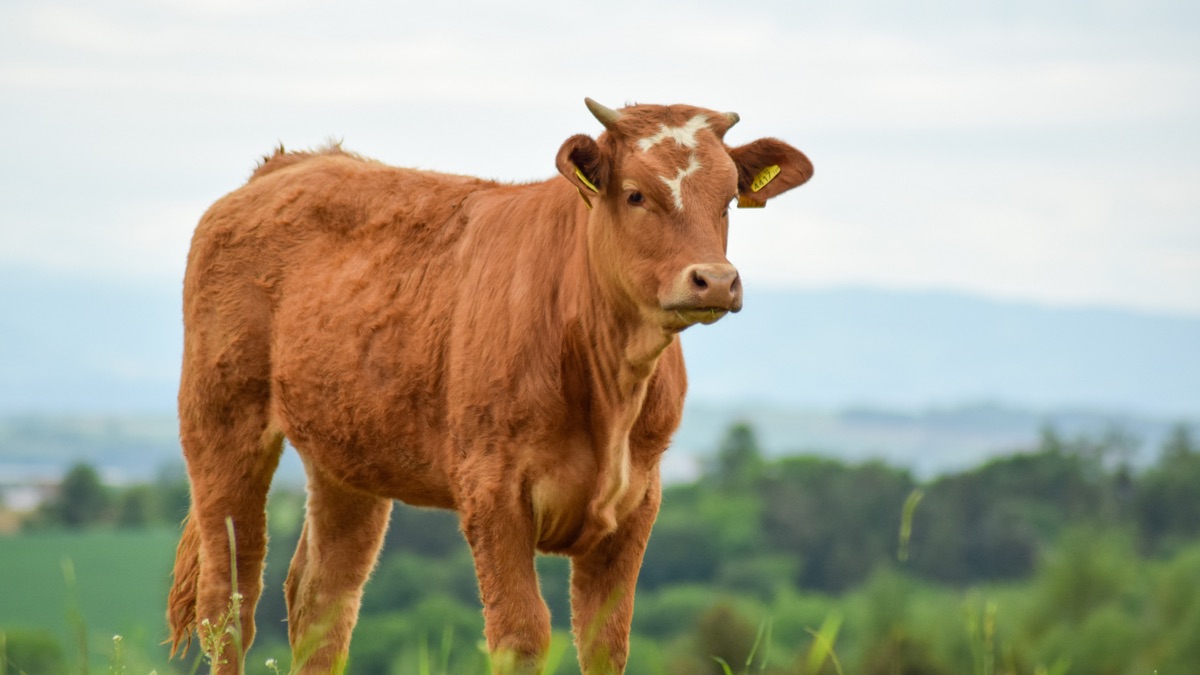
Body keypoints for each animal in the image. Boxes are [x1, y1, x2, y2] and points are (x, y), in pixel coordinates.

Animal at [166, 98, 812, 674]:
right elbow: (521, 636)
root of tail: (292, 163)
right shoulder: (492, 487)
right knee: (229, 604)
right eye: (635, 194)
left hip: (347, 459)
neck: (609, 390)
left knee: (321, 601)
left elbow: (606, 641)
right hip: (222, 424)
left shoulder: (638, 500)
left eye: (728, 200)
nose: (715, 280)